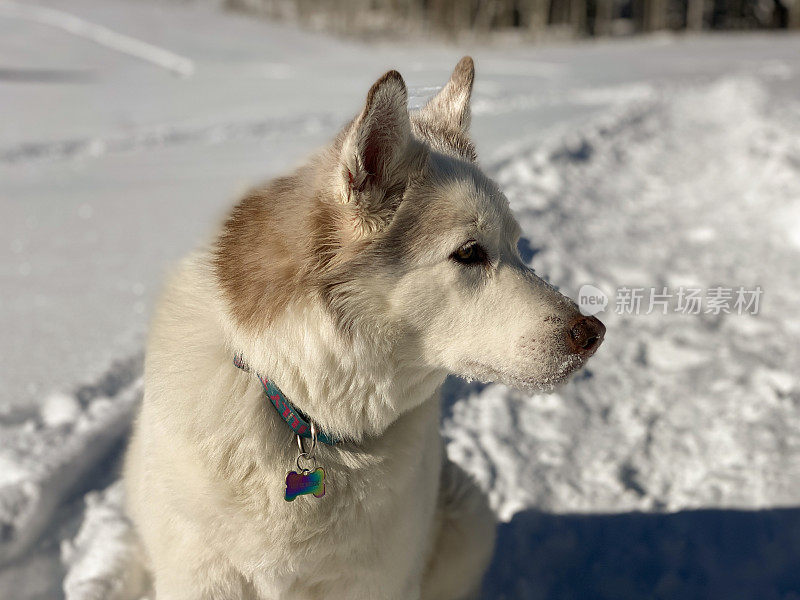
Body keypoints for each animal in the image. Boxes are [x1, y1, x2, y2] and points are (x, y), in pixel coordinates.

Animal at [123, 57, 600, 600]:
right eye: (469, 252)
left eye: (518, 247)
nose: (593, 332)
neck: (309, 417)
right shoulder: (202, 577)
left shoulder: (380, 581)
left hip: (468, 520)